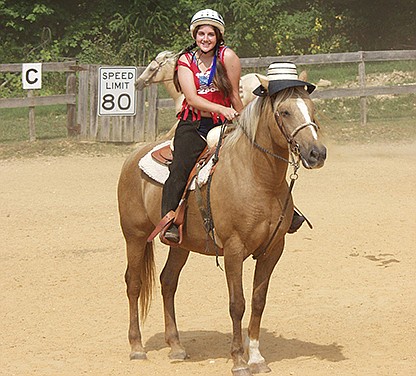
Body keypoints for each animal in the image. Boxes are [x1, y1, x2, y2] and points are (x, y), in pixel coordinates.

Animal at [117, 78, 324, 374]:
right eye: (284, 112)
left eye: (311, 108)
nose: (317, 153)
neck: (258, 178)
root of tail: (133, 156)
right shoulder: (234, 251)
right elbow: (237, 304)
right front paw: (239, 360)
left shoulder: (273, 249)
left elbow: (258, 302)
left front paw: (257, 358)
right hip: (134, 236)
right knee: (133, 284)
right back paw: (136, 347)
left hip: (180, 244)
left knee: (168, 282)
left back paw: (176, 346)